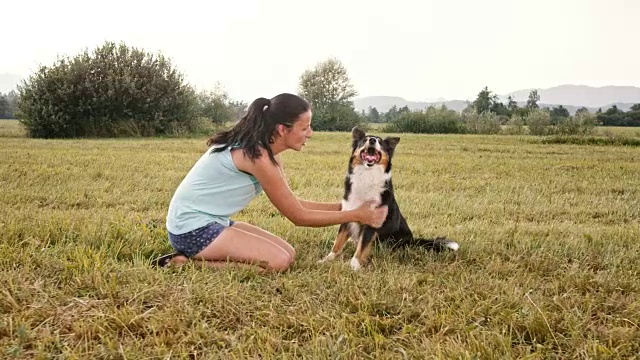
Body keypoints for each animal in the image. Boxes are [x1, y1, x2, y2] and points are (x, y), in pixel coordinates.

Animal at [320, 126, 460, 270]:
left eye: (380, 142)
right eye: (364, 140)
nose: (372, 140)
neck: (367, 175)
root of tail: (412, 241)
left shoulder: (371, 222)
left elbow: (361, 248)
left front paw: (354, 267)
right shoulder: (347, 214)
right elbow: (338, 243)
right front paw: (326, 260)